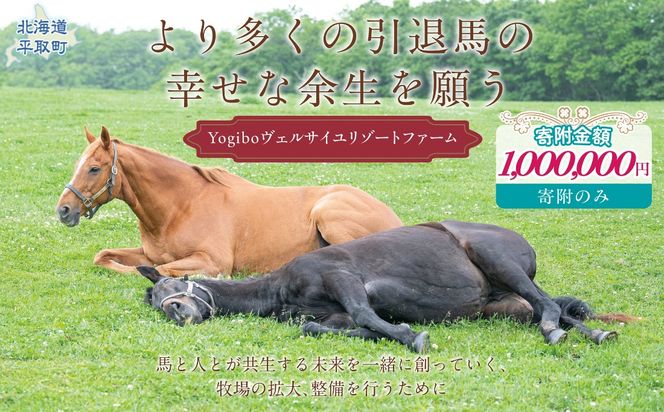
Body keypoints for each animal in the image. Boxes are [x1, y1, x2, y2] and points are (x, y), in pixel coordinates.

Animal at [55, 126, 402, 276]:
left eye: (94, 168)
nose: (64, 210)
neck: (181, 206)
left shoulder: (212, 260)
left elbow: (158, 270)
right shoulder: (149, 252)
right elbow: (105, 257)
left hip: (328, 213)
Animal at [139, 221, 636, 352]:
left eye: (176, 284)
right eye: (158, 301)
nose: (178, 311)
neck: (280, 287)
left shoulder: (343, 278)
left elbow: (364, 313)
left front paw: (412, 337)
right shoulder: (329, 314)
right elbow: (318, 327)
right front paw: (388, 333)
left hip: (497, 260)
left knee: (547, 306)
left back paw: (560, 331)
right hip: (505, 304)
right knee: (554, 309)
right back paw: (592, 332)